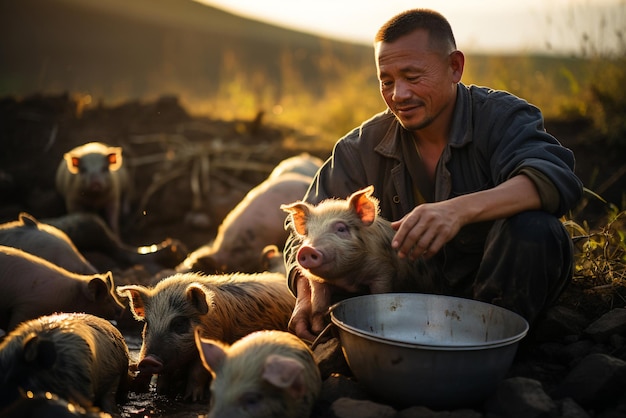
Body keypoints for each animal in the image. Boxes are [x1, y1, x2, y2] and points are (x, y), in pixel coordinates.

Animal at [117, 272, 298, 402]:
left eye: (179, 323)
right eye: (147, 324)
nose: (148, 361)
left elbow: (198, 372)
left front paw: (192, 399)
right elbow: (165, 375)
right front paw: (161, 394)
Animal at [280, 186, 432, 324]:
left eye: (341, 229)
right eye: (309, 233)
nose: (307, 249)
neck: (347, 278)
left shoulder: (383, 271)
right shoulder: (317, 282)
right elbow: (318, 306)